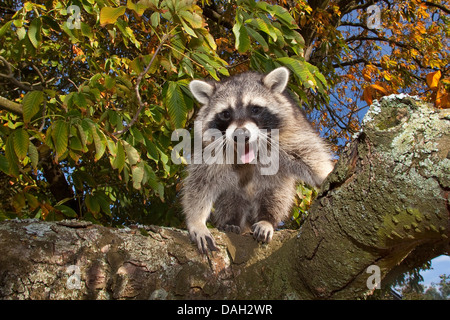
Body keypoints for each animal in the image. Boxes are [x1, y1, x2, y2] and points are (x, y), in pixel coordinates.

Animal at [181, 67, 332, 252]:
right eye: (225, 113)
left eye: (255, 109)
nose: (241, 135)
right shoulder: (210, 147)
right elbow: (200, 182)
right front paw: (196, 221)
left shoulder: (290, 132)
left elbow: (309, 153)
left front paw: (325, 174)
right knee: (230, 200)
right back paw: (231, 221)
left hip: (276, 188)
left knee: (277, 196)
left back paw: (266, 219)